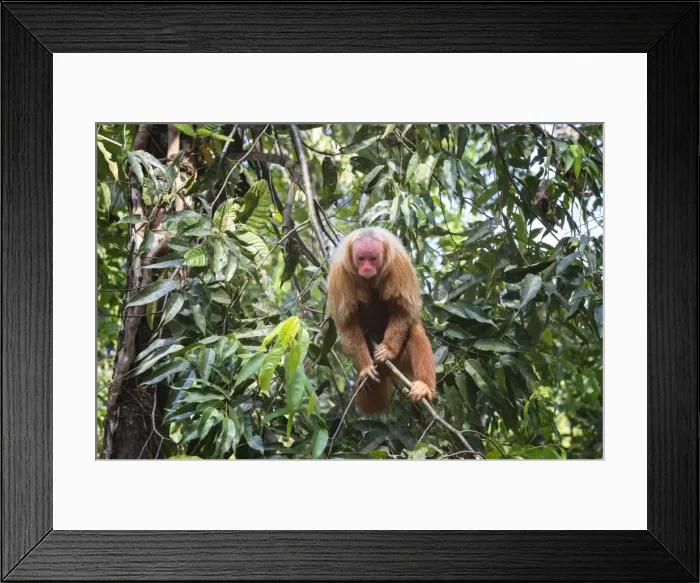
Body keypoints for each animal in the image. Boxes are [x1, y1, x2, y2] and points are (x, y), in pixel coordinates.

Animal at [327, 227, 436, 414]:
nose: (367, 267)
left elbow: (402, 310)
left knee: (415, 330)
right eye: (361, 259)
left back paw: (424, 386)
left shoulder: (399, 264)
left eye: (372, 258)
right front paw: (365, 368)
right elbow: (348, 322)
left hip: (401, 361)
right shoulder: (339, 274)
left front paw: (388, 349)